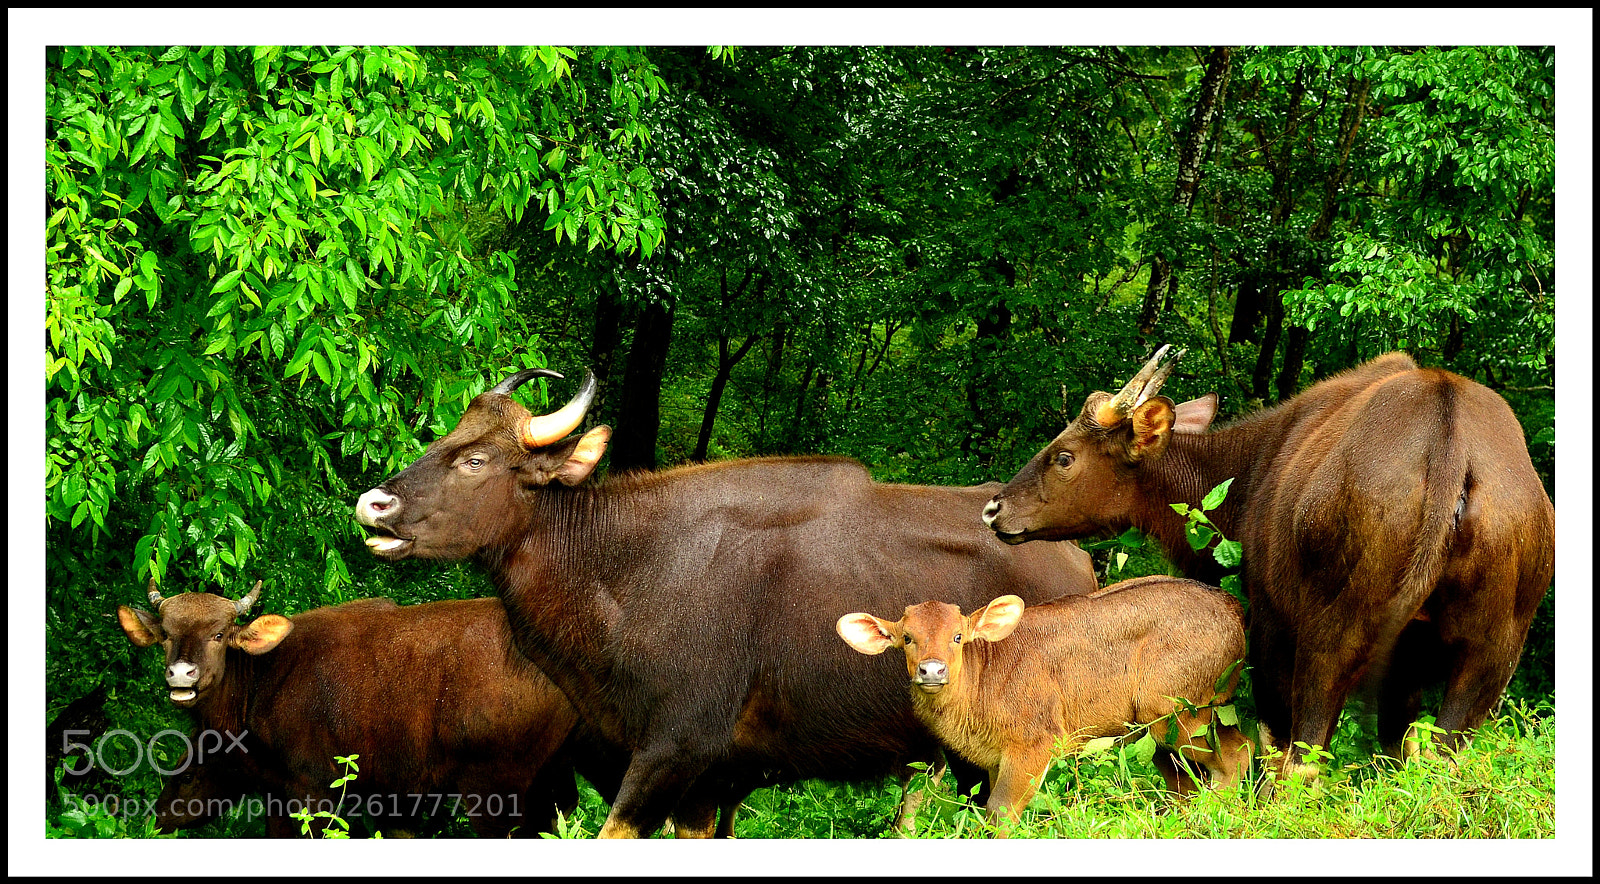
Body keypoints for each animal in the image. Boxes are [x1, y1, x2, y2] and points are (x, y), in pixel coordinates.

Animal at [354, 368, 1098, 837]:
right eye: (442, 442)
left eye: (475, 460)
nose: (374, 504)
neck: (625, 569)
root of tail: (1076, 560)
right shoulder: (707, 785)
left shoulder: (675, 749)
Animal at [983, 348, 1555, 778]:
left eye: (1064, 456)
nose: (994, 509)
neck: (1248, 471)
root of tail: (1450, 445)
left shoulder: (1271, 627)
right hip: (1491, 654)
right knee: (1441, 755)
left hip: (1331, 636)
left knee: (1304, 756)